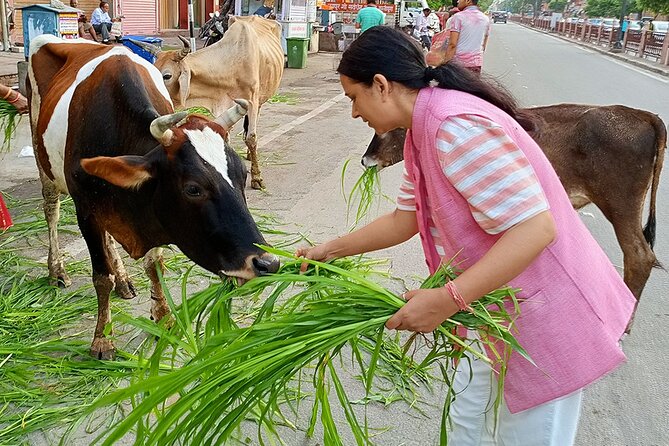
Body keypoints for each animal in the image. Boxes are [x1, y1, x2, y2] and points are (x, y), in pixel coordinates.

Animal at [28, 36, 280, 360]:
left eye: (242, 175)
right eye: (193, 188)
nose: (267, 263)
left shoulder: (152, 209)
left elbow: (154, 266)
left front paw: (164, 317)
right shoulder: (86, 210)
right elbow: (101, 277)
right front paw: (102, 339)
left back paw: (124, 279)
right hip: (42, 158)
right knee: (51, 210)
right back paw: (56, 269)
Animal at [134, 15, 284, 189]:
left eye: (167, 76)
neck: (232, 63)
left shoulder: (251, 101)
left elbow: (251, 138)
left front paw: (257, 178)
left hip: (259, 101)